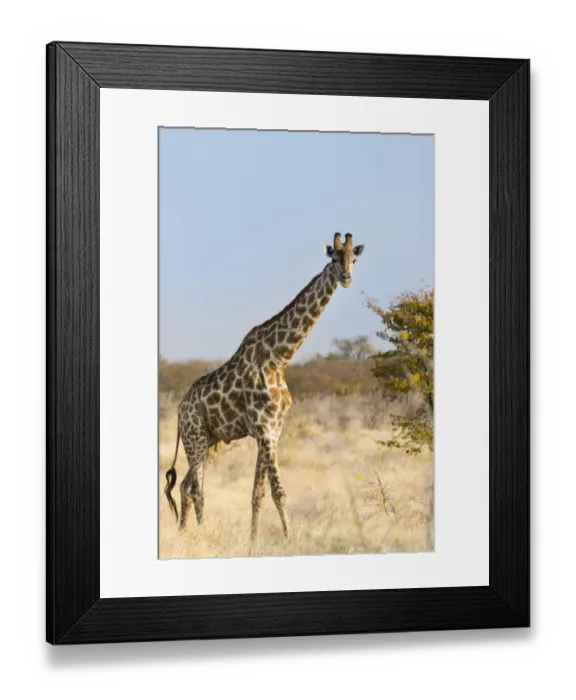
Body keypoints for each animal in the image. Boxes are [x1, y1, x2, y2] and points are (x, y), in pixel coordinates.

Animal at [165, 232, 365, 541]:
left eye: (353, 259)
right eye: (333, 258)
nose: (346, 278)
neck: (279, 357)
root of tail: (179, 410)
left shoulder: (272, 431)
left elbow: (257, 494)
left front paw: (253, 542)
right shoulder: (265, 429)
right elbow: (279, 493)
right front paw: (289, 540)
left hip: (212, 441)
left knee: (186, 485)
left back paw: (185, 533)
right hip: (194, 436)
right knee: (198, 488)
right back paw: (200, 534)